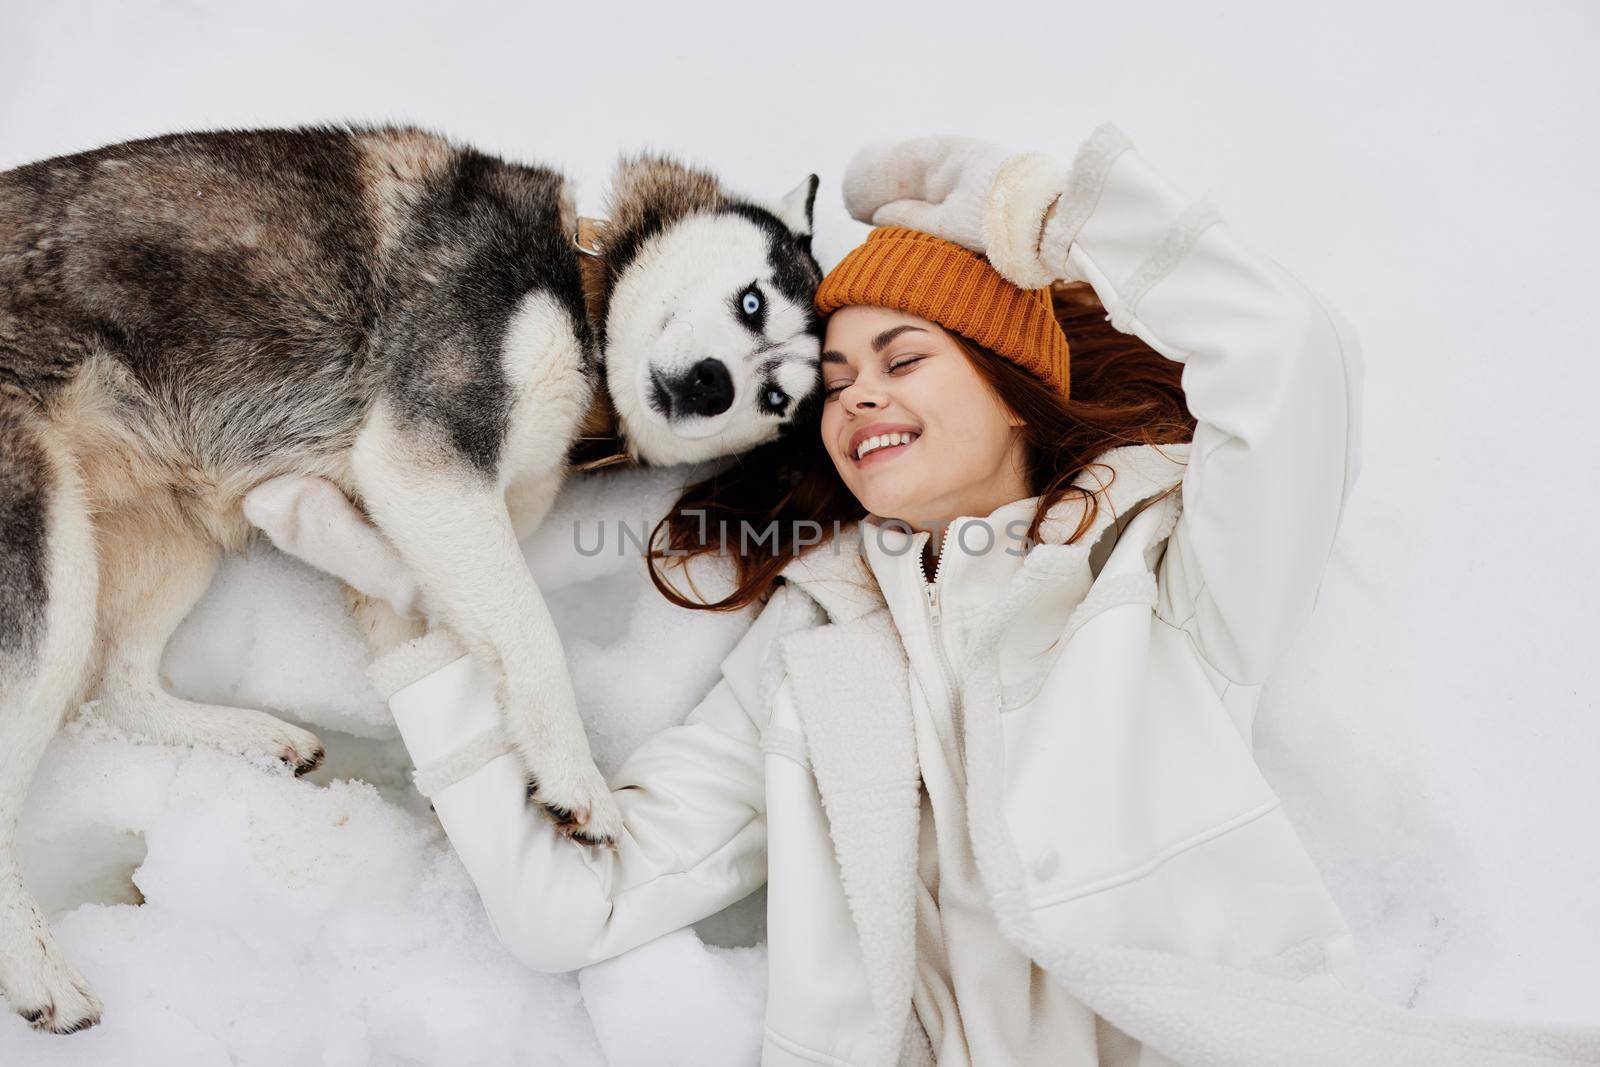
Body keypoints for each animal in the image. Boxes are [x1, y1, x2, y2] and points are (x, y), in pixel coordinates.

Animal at [0, 127, 825, 1036]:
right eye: (752, 303)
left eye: (776, 396)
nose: (716, 383)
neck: (582, 293)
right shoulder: (427, 459)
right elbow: (531, 635)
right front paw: (574, 778)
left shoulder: (423, 506)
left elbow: (420, 610)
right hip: (50, 566)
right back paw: (39, 969)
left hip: (174, 535)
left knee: (121, 685)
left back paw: (252, 738)